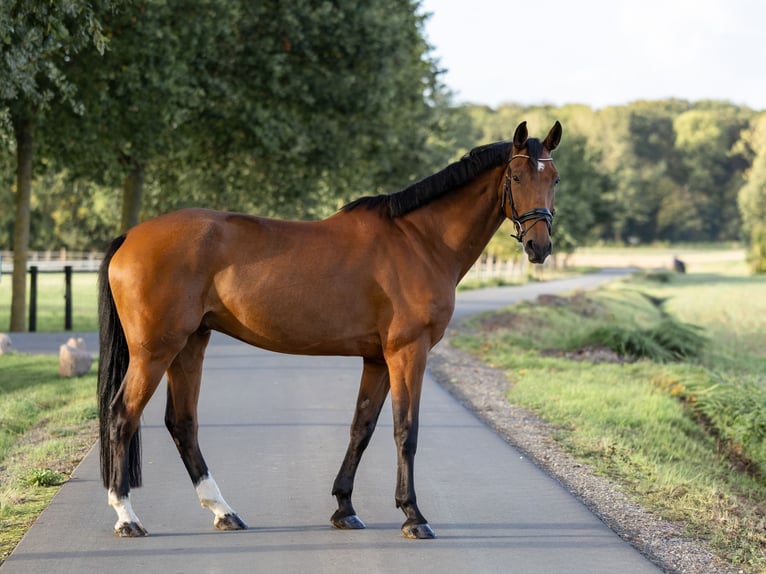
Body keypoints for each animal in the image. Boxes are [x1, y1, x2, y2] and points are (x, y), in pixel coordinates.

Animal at [98, 120, 562, 539]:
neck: (420, 241)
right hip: (155, 351)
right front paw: (413, 516)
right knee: (122, 416)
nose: (539, 246)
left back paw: (223, 512)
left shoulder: (377, 358)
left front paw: (344, 509)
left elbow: (362, 429)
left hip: (190, 344)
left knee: (182, 424)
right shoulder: (408, 352)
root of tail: (130, 237)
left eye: (554, 178)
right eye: (516, 177)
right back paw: (126, 518)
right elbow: (405, 431)